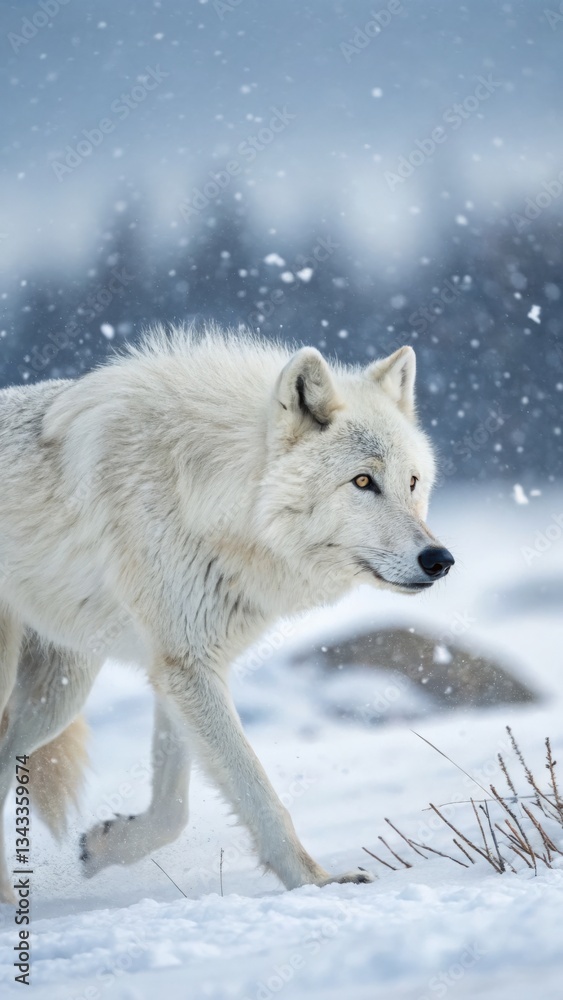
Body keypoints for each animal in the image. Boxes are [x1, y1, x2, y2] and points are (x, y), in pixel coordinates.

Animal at [0, 327, 453, 903]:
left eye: (412, 482)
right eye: (362, 482)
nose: (439, 560)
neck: (211, 491)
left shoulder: (179, 664)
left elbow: (173, 811)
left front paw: (107, 847)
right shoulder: (189, 666)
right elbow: (258, 793)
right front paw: (318, 882)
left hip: (58, 696)